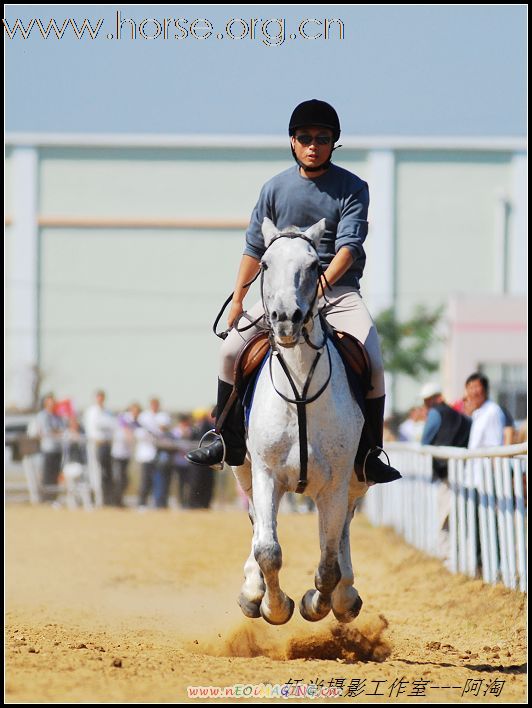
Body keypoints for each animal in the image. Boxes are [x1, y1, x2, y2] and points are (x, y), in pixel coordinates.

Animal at [233, 217, 370, 624]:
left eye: (313, 266)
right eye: (265, 264)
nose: (286, 321)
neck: (300, 393)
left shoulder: (336, 485)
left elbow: (327, 565)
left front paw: (315, 604)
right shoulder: (265, 473)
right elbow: (268, 550)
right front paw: (274, 608)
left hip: (355, 482)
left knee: (342, 532)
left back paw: (346, 597)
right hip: (244, 469)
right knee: (255, 523)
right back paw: (252, 591)